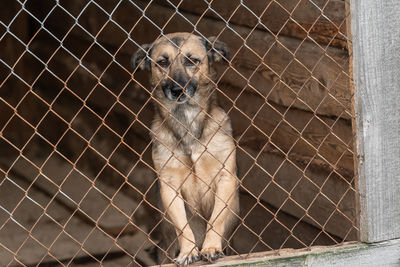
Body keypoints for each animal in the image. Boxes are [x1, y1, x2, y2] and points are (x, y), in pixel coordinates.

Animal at [131, 32, 239, 264]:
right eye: (163, 62)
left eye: (192, 61)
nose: (177, 90)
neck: (187, 121)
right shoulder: (169, 186)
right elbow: (182, 226)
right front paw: (189, 251)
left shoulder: (226, 177)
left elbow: (216, 220)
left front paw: (210, 247)